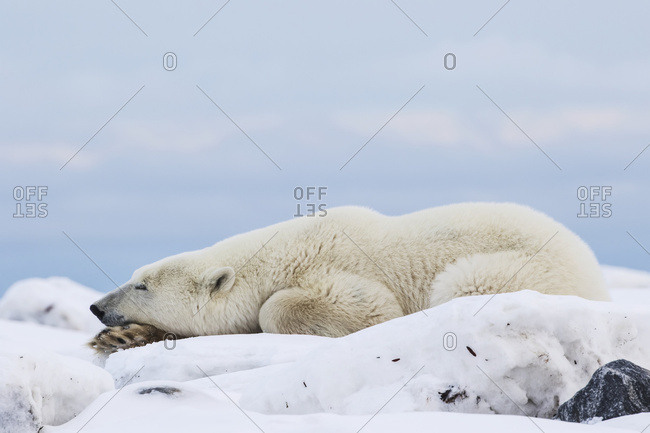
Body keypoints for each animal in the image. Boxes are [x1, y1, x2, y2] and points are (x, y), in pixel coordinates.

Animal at [87, 202, 608, 352]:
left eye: (142, 284)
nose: (96, 306)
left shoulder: (335, 267)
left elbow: (369, 307)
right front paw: (121, 338)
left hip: (518, 266)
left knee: (462, 283)